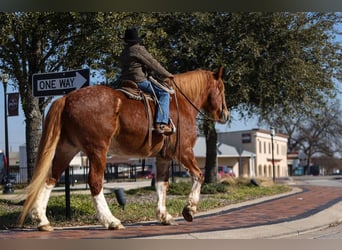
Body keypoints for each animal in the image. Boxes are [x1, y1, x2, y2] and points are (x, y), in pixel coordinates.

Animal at [20, 66, 231, 230]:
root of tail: (66, 99)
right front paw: (189, 210)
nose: (225, 114)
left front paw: (164, 216)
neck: (181, 103)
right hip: (97, 150)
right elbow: (198, 175)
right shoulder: (184, 152)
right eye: (221, 88)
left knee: (51, 178)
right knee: (95, 182)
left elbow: (161, 185)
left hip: (67, 149)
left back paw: (42, 220)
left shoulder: (163, 157)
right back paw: (110, 220)